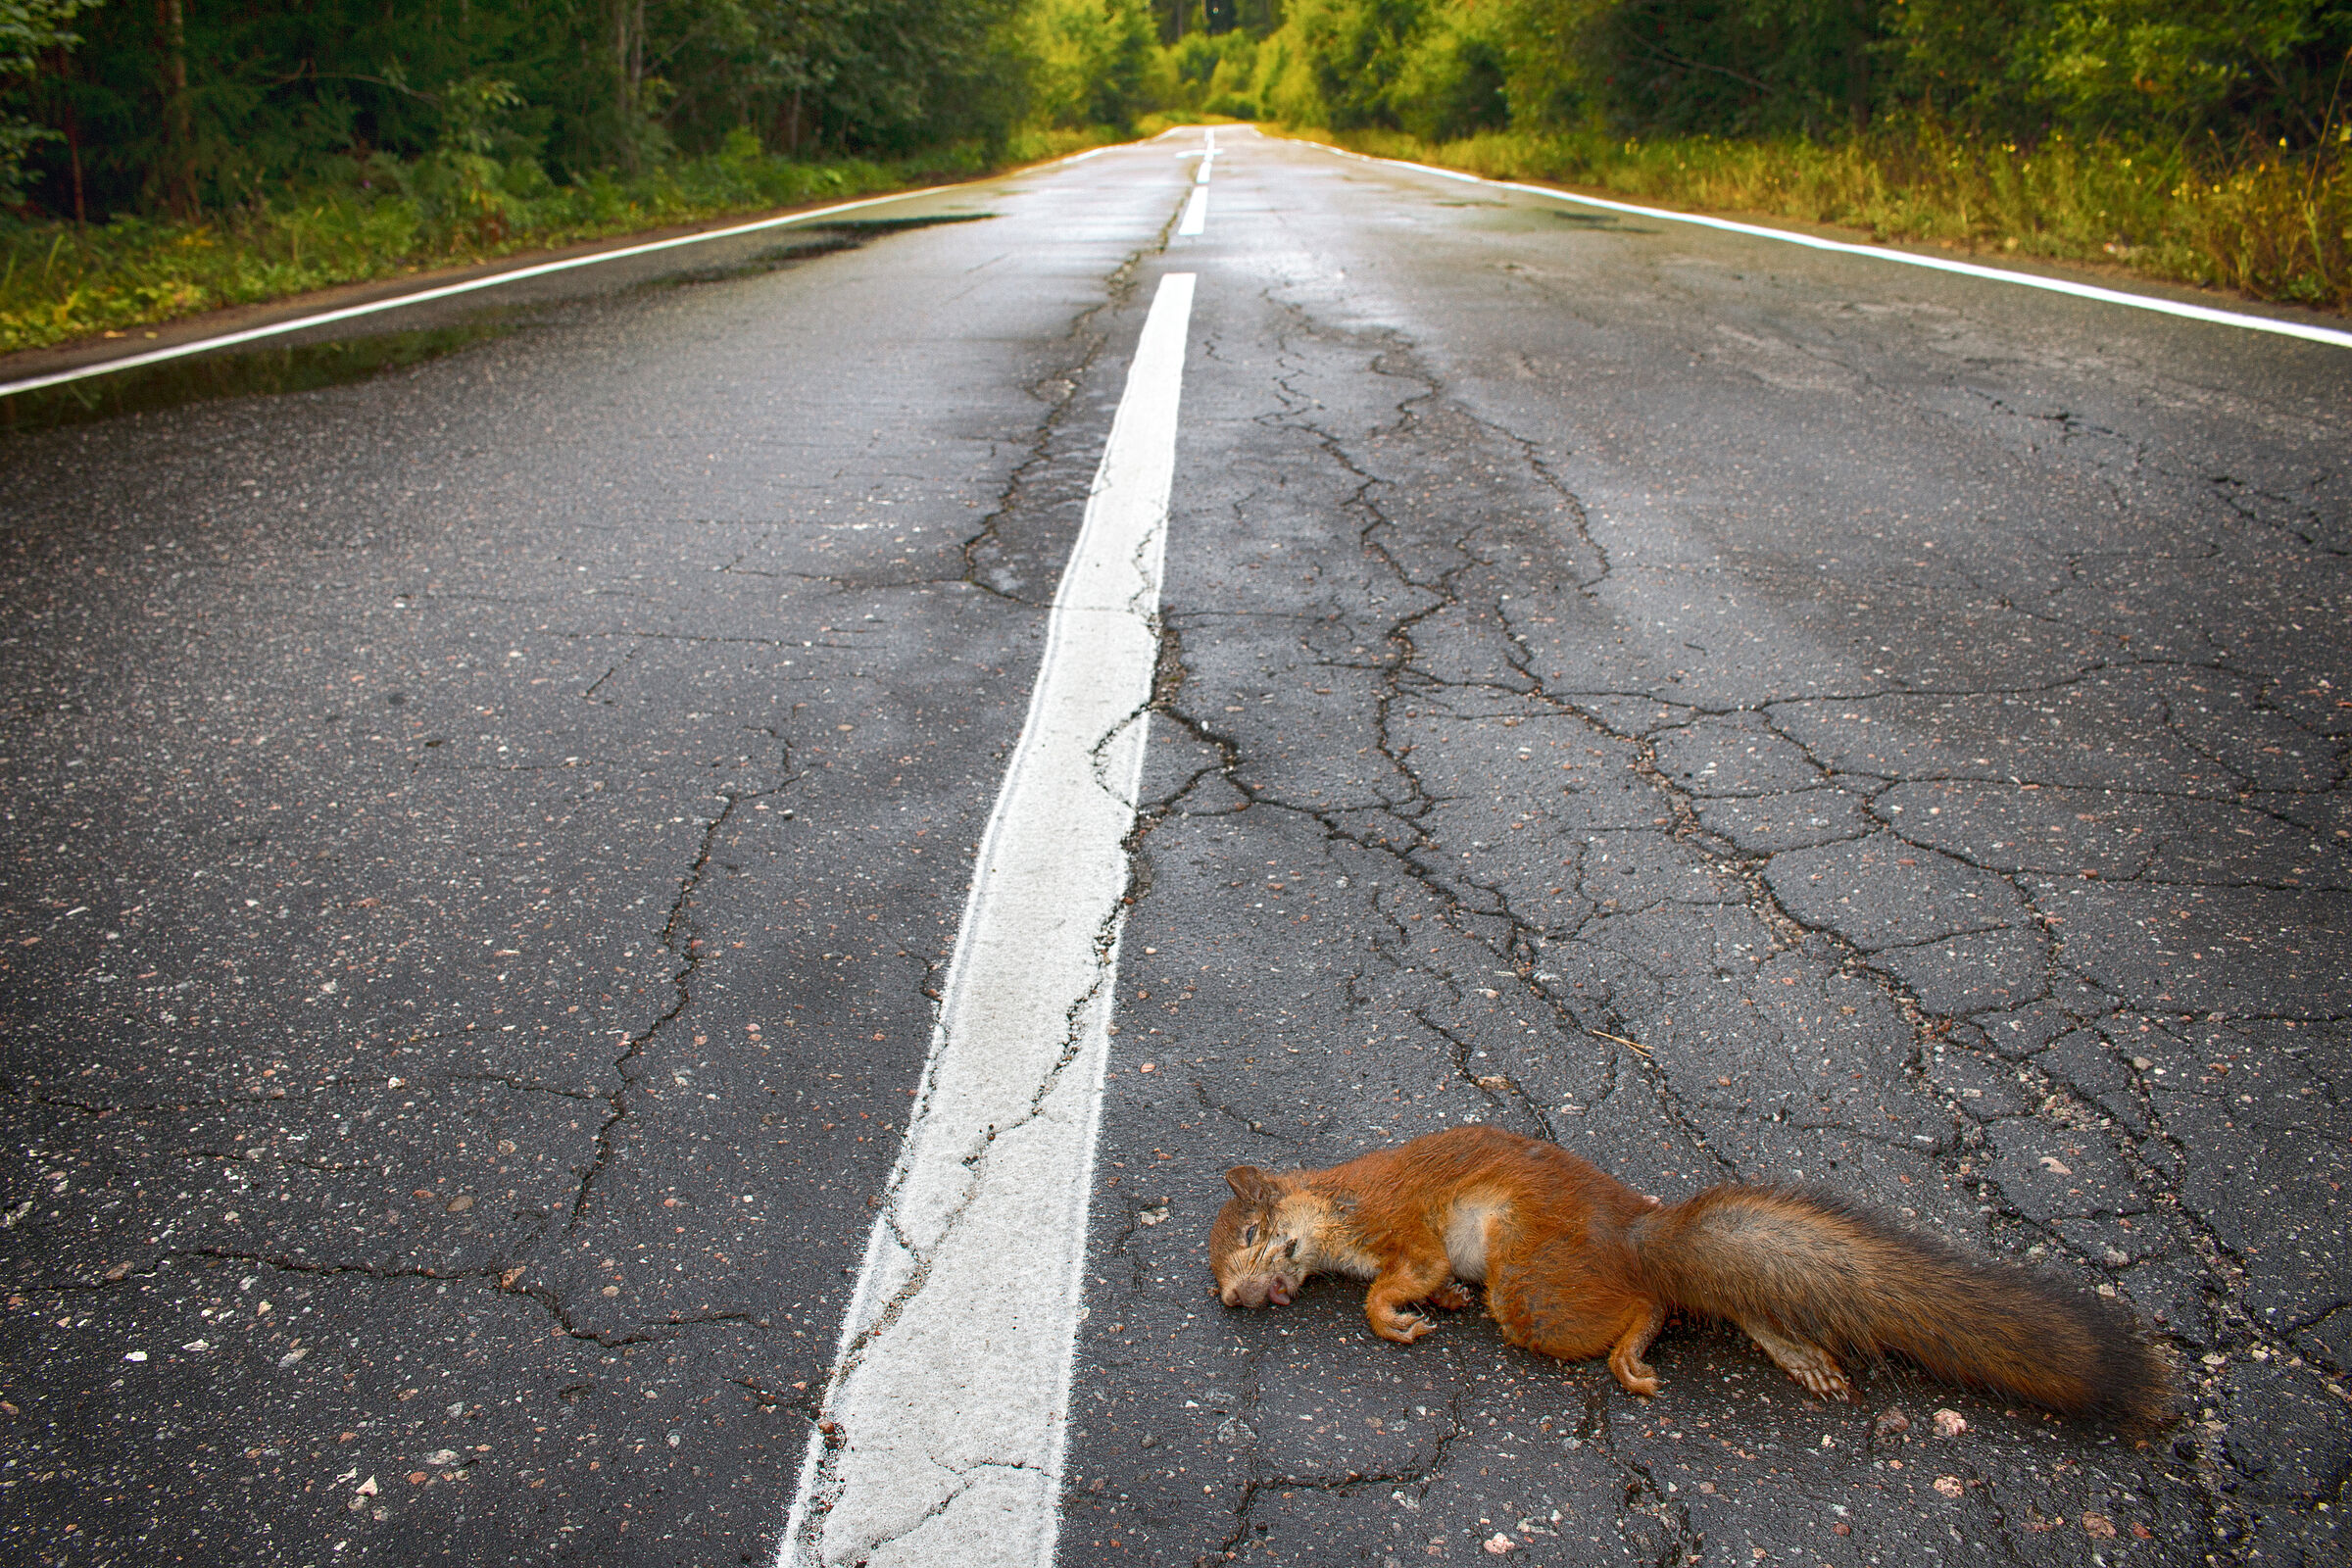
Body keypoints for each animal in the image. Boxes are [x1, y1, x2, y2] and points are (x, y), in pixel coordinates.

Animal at [1209, 1125, 2170, 1426]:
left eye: (1251, 1233)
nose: (1230, 1297)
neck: (1337, 1205)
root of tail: (1635, 1237)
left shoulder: (1399, 1224)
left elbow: (1396, 1281)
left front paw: (1397, 1316)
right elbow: (1434, 1282)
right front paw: (1438, 1302)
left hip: (1533, 1290)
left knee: (1650, 1306)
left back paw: (1633, 1351)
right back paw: (1793, 1350)